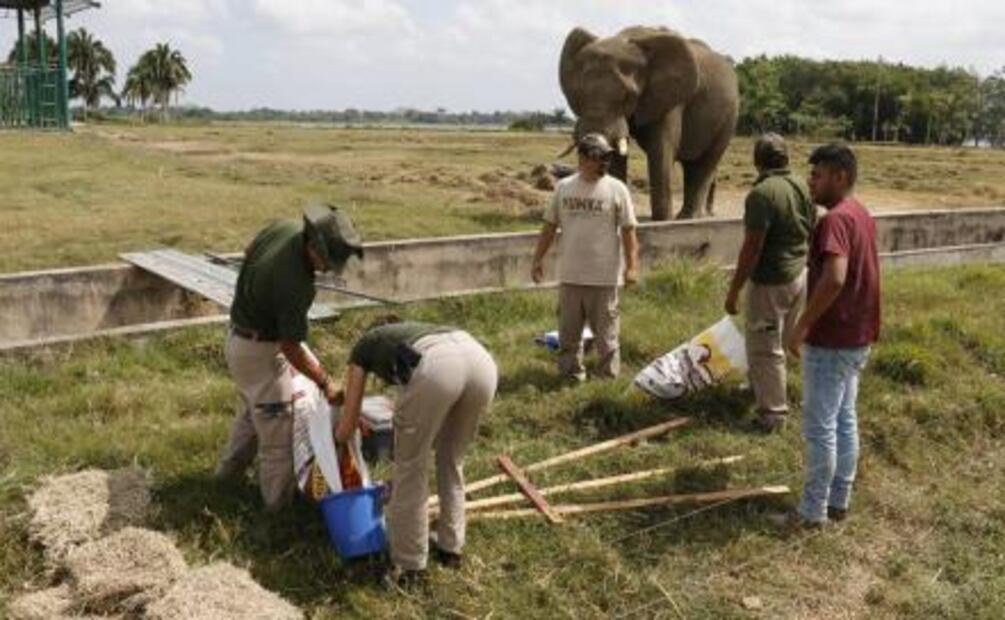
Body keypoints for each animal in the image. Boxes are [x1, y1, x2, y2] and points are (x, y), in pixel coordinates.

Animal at [559, 26, 739, 220]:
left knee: (706, 163)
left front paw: (662, 221)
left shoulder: (670, 100)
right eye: (577, 93)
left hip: (730, 116)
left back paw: (688, 218)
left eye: (627, 96)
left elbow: (661, 149)